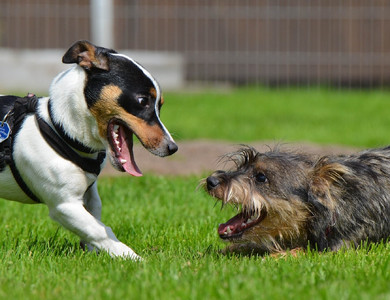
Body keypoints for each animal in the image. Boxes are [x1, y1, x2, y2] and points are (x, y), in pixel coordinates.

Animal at [0, 40, 178, 260]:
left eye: (160, 105)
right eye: (142, 101)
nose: (172, 147)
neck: (60, 129)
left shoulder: (90, 195)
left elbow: (93, 224)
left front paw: (94, 254)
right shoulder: (65, 205)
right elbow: (100, 231)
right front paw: (133, 259)